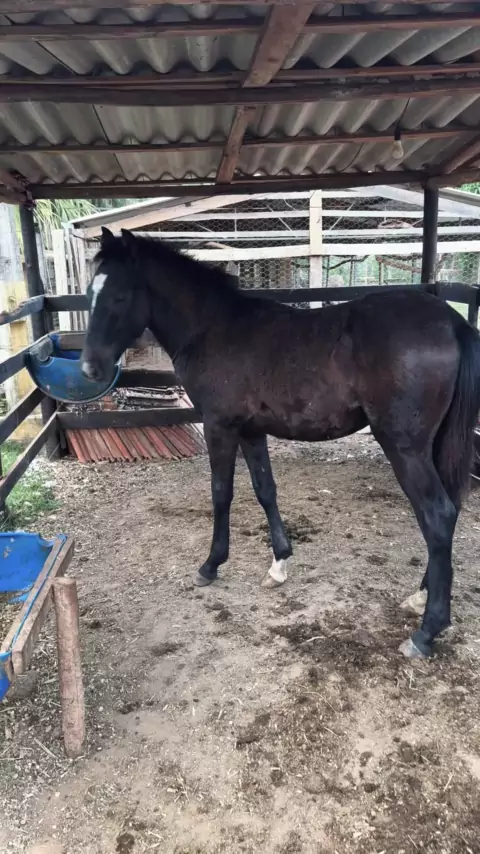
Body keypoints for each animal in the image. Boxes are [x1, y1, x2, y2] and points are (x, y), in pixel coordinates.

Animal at [81, 227, 480, 660]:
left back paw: (426, 632)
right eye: (91, 291)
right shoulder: (251, 430)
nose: (89, 368)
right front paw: (279, 564)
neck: (214, 328)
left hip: (404, 447)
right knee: (448, 512)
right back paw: (420, 596)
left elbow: (221, 493)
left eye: (120, 295)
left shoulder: (219, 426)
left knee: (437, 515)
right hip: (435, 445)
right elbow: (264, 489)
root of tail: (452, 322)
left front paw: (211, 565)